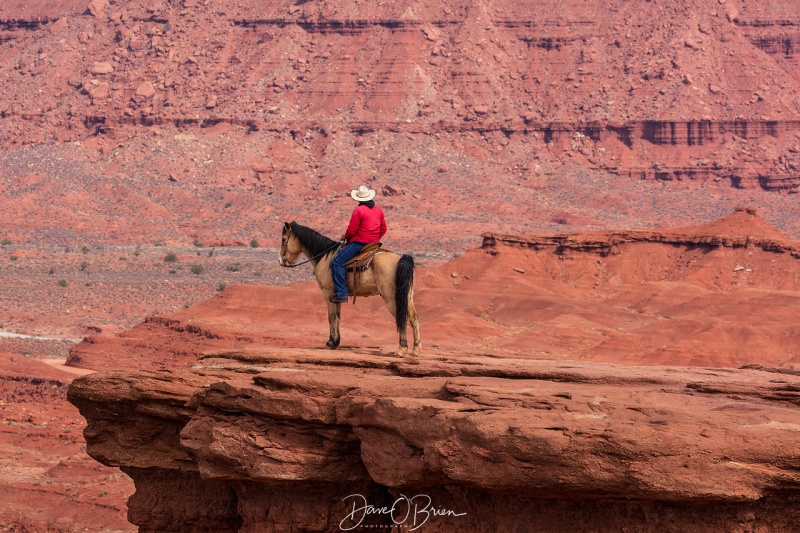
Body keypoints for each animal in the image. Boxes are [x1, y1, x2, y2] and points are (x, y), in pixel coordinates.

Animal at [280, 222, 422, 356]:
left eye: (283, 239)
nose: (281, 261)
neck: (324, 256)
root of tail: (400, 259)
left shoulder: (327, 292)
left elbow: (331, 316)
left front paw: (330, 343)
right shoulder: (337, 296)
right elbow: (337, 317)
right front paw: (336, 342)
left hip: (391, 298)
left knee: (401, 317)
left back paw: (402, 349)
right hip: (407, 296)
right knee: (413, 317)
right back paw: (416, 349)